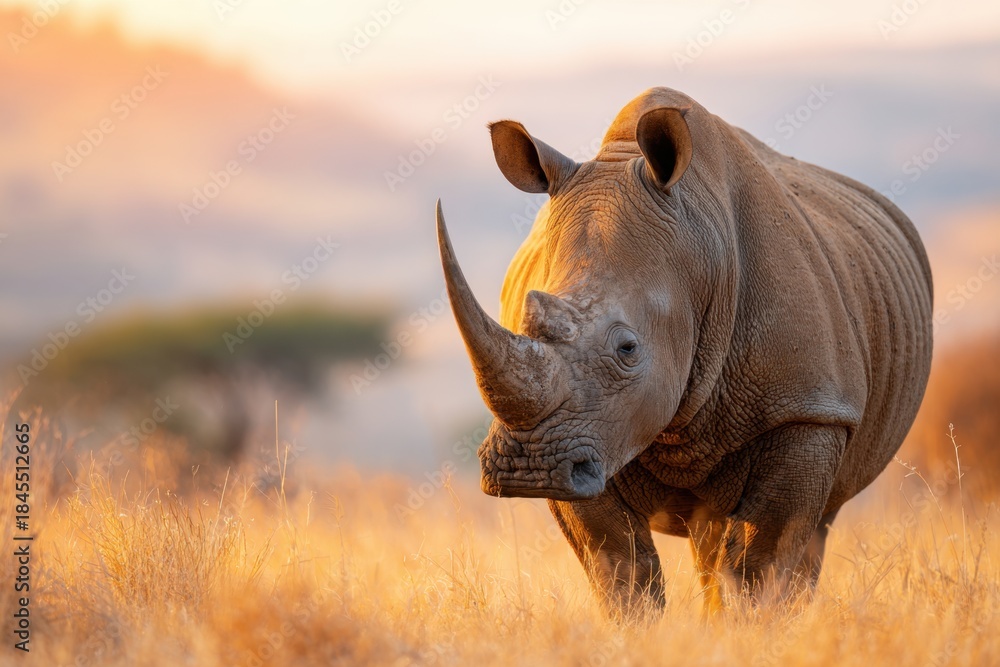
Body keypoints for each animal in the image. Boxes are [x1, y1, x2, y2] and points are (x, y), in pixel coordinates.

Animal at [435, 87, 933, 614]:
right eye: (520, 322)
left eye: (628, 349)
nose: (529, 469)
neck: (699, 259)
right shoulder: (590, 440)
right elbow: (620, 569)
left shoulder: (808, 408)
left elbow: (759, 566)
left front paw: (754, 626)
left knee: (810, 526)